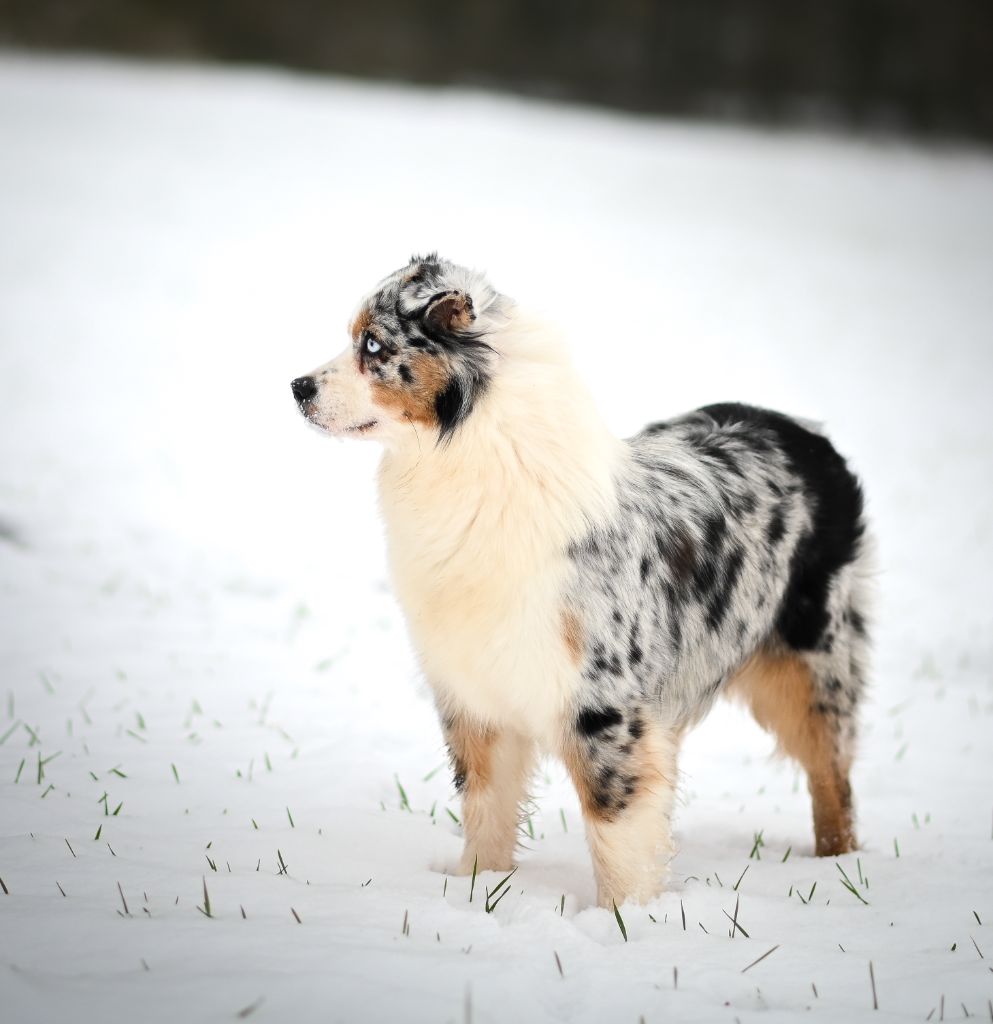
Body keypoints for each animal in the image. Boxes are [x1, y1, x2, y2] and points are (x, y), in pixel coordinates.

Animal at [290, 253, 872, 905]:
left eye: (372, 344)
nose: (297, 387)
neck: (464, 459)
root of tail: (803, 431)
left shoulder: (603, 706)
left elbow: (616, 825)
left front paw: (625, 915)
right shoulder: (475, 698)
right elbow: (485, 808)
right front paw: (478, 892)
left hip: (813, 661)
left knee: (832, 774)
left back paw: (837, 865)